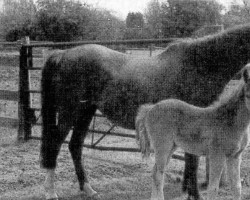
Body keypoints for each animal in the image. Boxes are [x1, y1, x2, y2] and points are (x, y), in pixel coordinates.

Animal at [40, 23, 250, 200]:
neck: (200, 65)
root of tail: (62, 54)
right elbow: (192, 161)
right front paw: (194, 194)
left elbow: (191, 160)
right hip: (70, 111)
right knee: (55, 144)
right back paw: (51, 192)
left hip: (85, 112)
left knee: (75, 146)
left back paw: (88, 189)